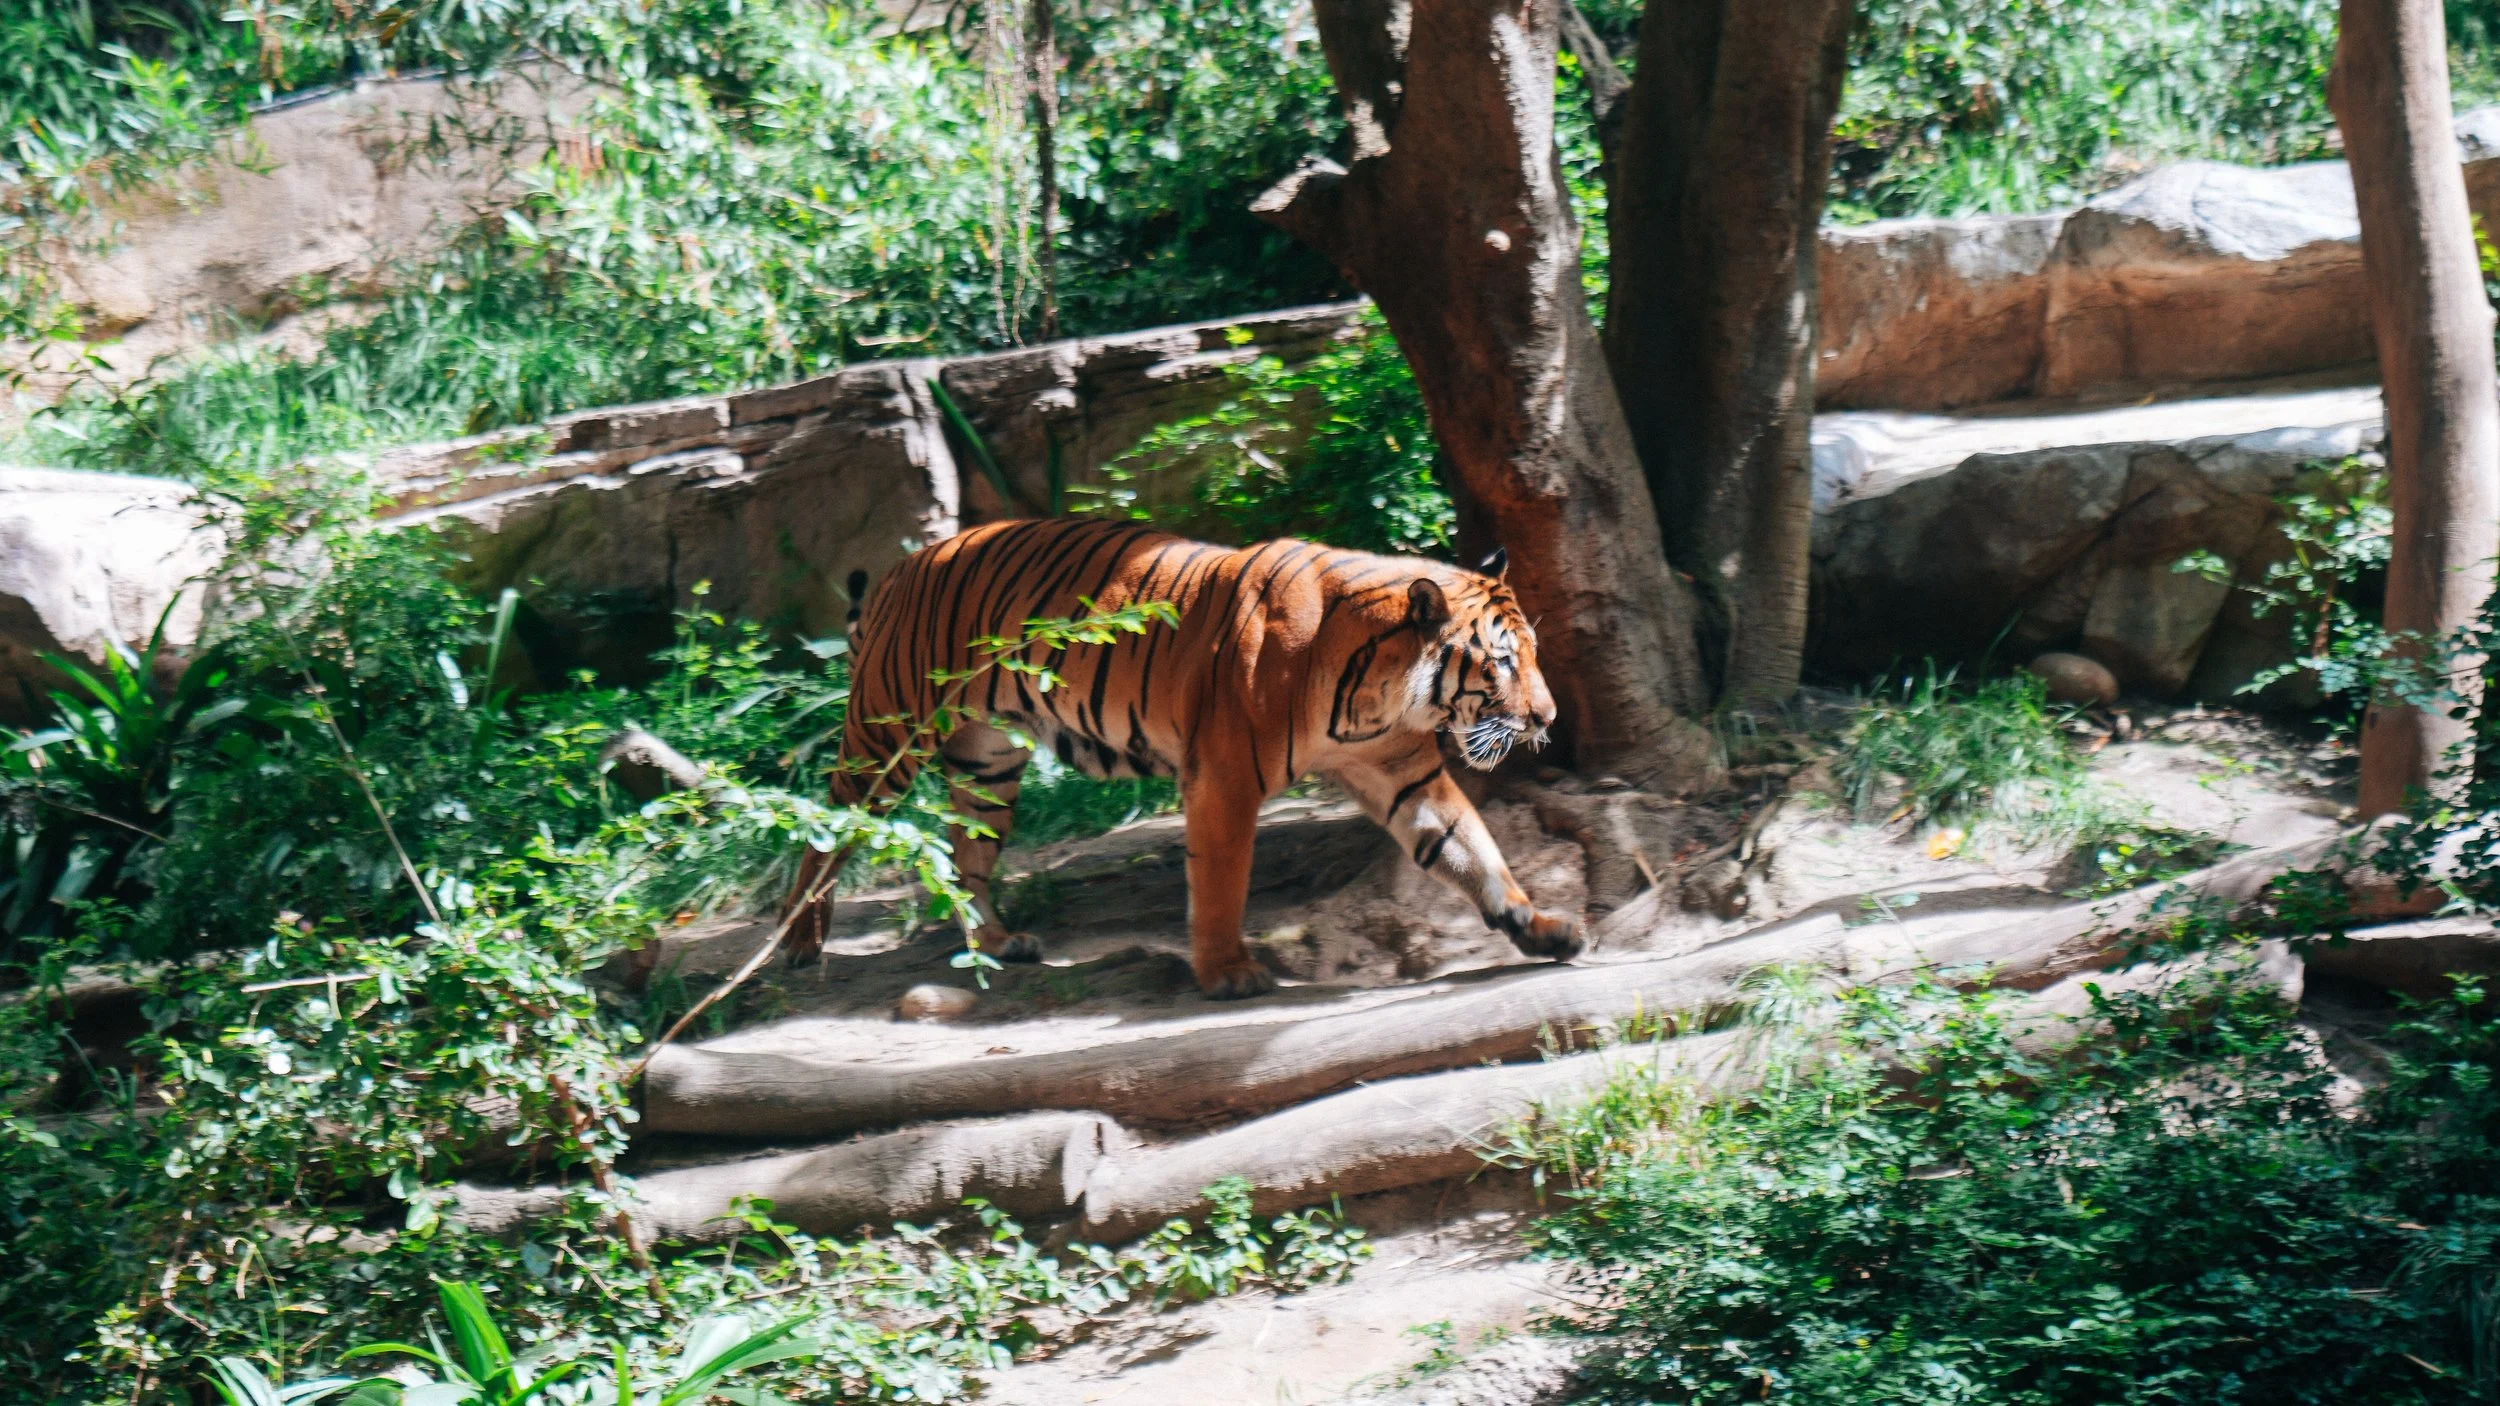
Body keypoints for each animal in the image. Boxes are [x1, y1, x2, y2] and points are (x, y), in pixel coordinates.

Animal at [784, 517, 1583, 998]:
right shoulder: (1225, 777)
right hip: (889, 735)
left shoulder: (1402, 771)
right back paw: (798, 944)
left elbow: (1472, 849)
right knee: (827, 824)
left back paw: (998, 943)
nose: (1548, 718)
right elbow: (1222, 879)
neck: (1380, 693)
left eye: (1531, 655)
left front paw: (1538, 925)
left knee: (967, 852)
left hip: (989, 763)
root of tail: (906, 566)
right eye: (1502, 663)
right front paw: (1228, 973)